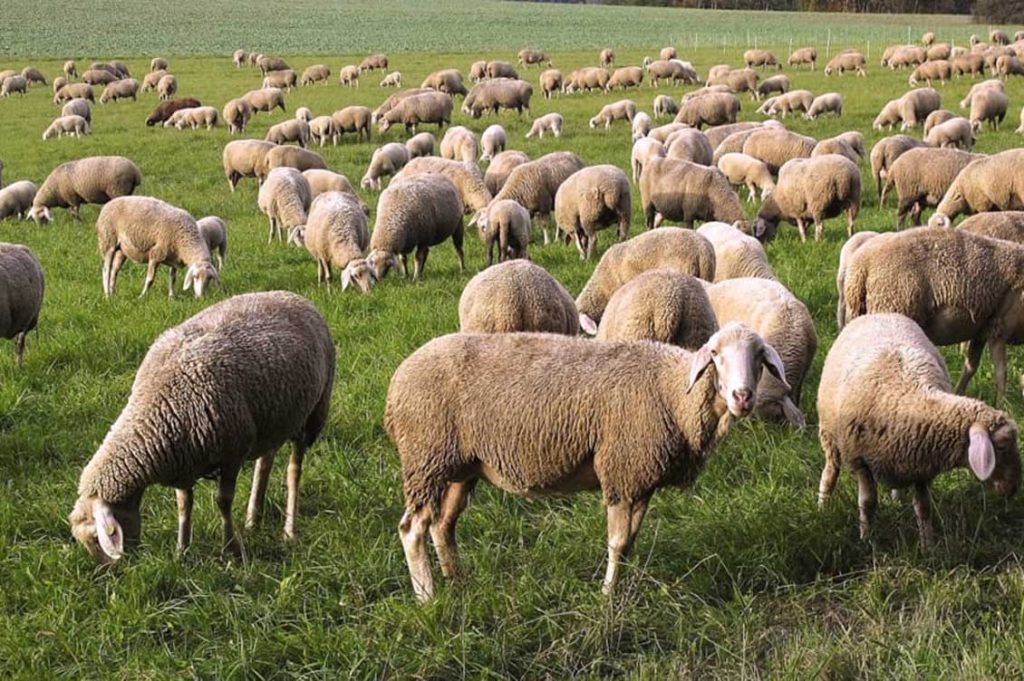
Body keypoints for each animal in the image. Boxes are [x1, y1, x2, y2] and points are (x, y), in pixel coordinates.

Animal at [70, 291, 334, 562]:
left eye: (96, 538)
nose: (112, 571)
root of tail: (293, 295)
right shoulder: (184, 462)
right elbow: (184, 505)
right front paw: (182, 550)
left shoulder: (231, 454)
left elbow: (223, 501)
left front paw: (231, 549)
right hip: (272, 417)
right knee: (265, 461)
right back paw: (253, 519)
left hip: (313, 413)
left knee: (294, 470)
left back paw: (289, 531)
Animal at [386, 321, 783, 601]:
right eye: (715, 353)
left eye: (760, 356)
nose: (743, 396)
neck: (672, 391)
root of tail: (397, 380)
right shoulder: (622, 470)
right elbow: (617, 543)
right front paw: (607, 596)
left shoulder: (641, 480)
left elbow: (629, 543)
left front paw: (621, 589)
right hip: (426, 456)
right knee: (413, 529)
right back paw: (427, 596)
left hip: (459, 467)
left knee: (442, 525)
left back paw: (458, 582)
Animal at [818, 313, 1020, 545]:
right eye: (1002, 446)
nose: (1013, 489)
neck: (906, 400)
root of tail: (880, 314)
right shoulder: (861, 463)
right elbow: (867, 504)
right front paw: (866, 540)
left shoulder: (921, 469)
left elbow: (923, 508)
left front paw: (928, 545)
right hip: (829, 435)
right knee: (831, 471)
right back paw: (822, 506)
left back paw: (896, 501)